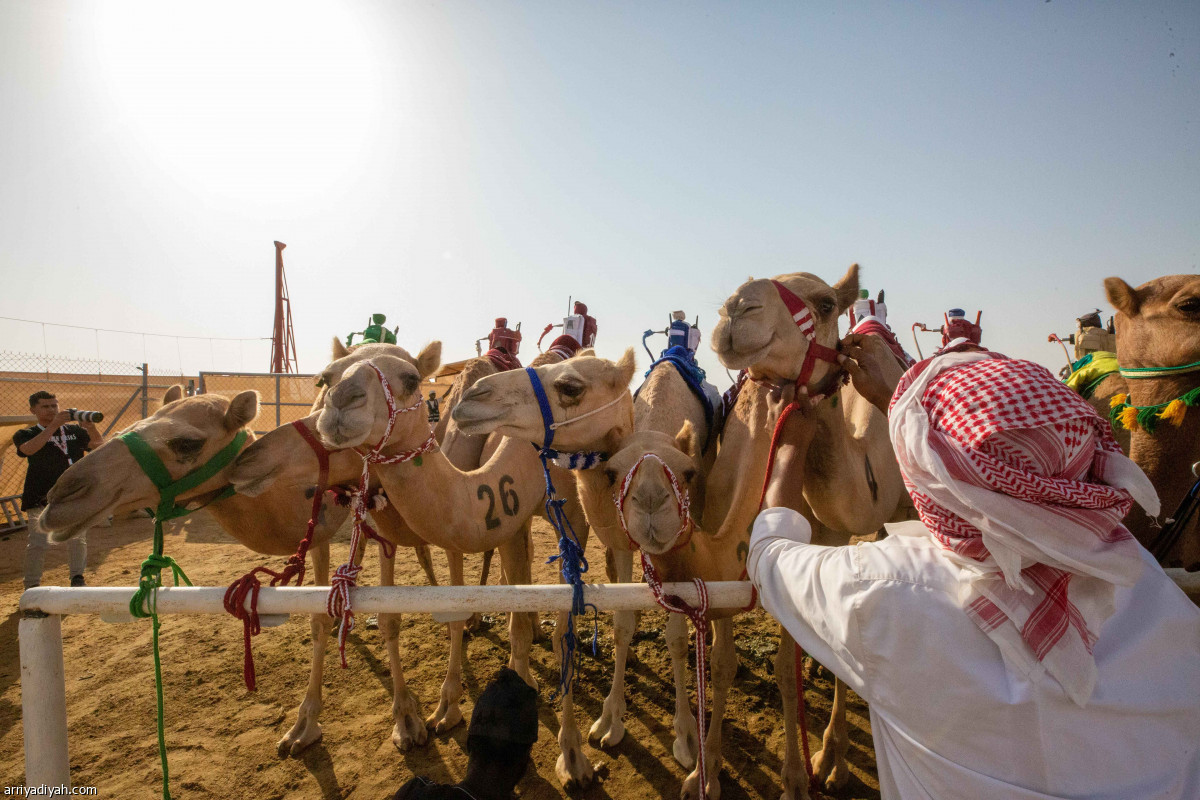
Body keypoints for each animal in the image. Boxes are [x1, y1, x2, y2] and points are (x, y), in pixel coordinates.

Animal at [228, 345, 633, 786]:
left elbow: (564, 633)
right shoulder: (510, 518)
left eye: (409, 379)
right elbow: (506, 622)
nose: (338, 406)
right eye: (325, 378)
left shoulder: (571, 519)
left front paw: (574, 757)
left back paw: (609, 718)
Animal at [705, 263, 902, 796]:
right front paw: (707, 770)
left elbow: (798, 665)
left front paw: (807, 774)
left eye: (825, 304)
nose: (736, 309)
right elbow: (733, 663)